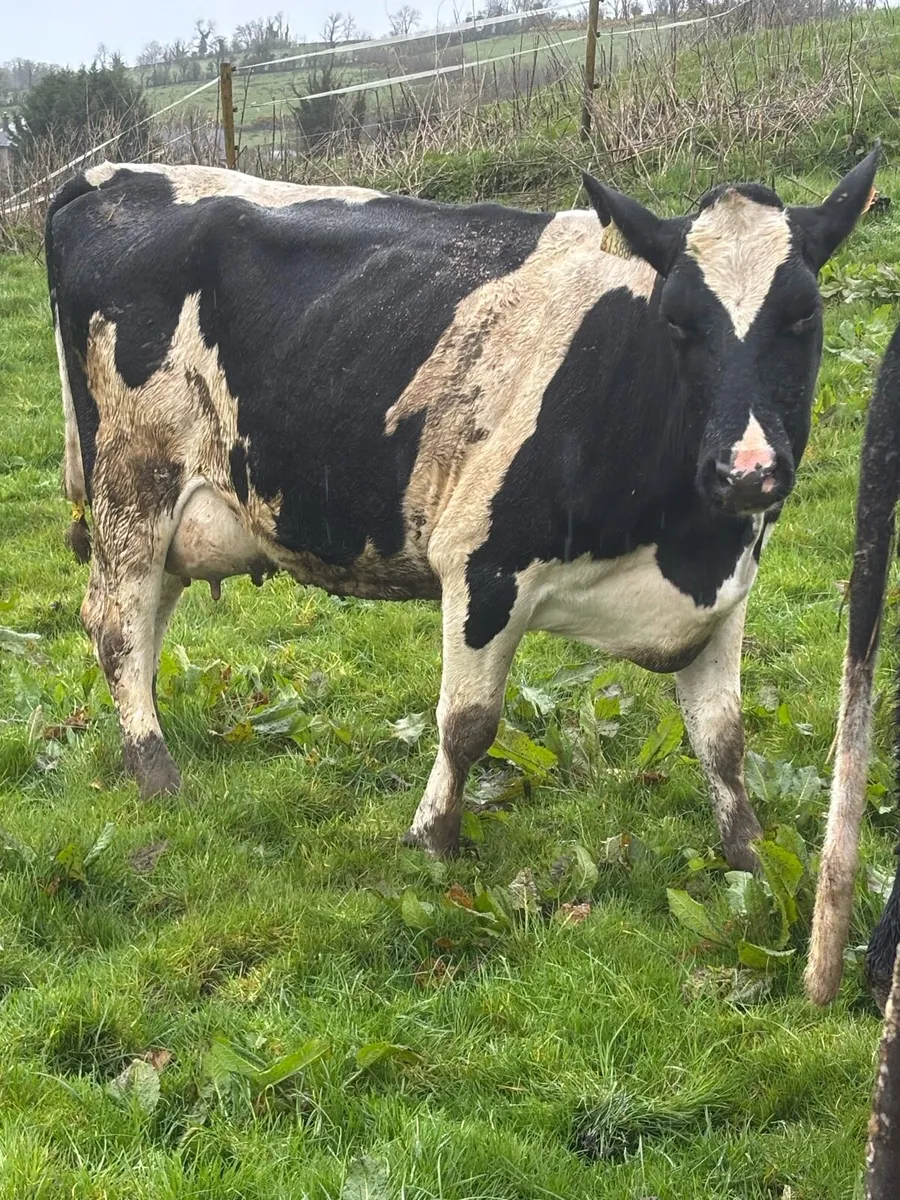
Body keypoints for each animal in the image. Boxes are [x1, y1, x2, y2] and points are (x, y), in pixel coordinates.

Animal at [46, 152, 878, 869]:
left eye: (804, 317)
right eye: (677, 320)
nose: (748, 470)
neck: (682, 541)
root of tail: (110, 175)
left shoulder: (727, 584)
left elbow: (722, 736)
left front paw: (750, 855)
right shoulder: (484, 566)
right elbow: (467, 725)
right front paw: (432, 839)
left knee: (144, 624)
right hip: (133, 483)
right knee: (116, 624)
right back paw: (155, 768)